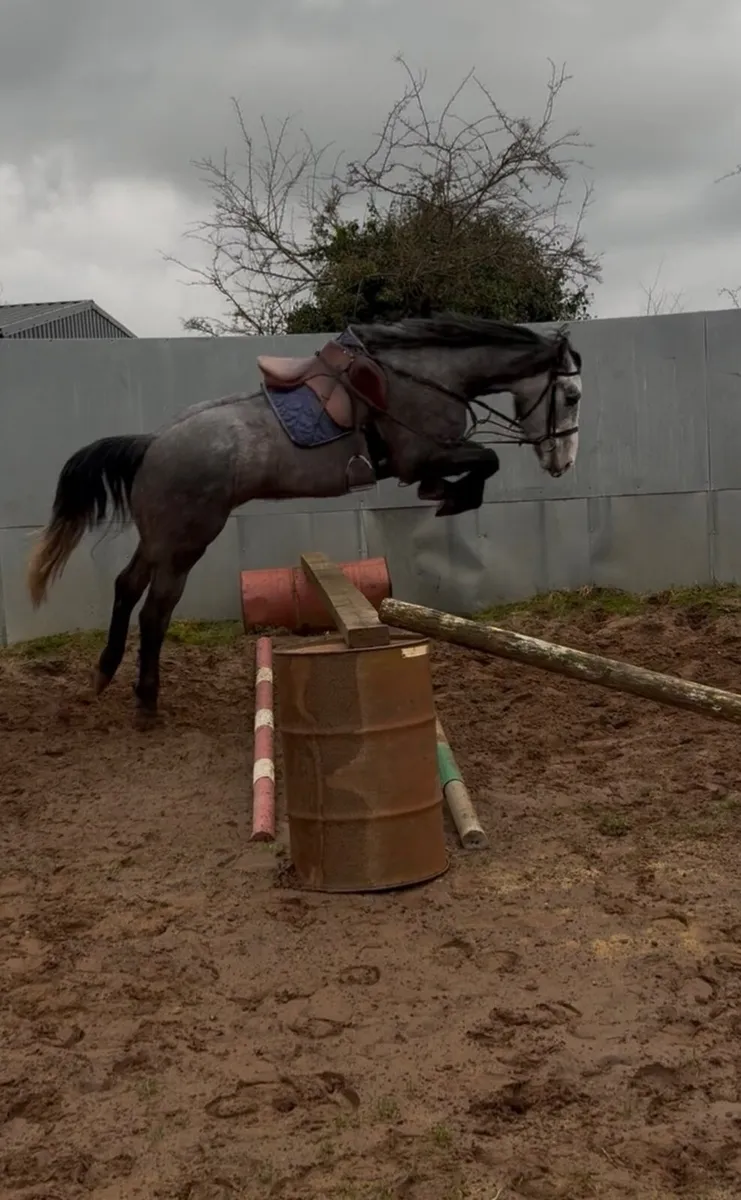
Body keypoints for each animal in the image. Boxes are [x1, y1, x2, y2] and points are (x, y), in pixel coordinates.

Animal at [27, 313, 582, 723]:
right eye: (572, 396)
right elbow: (484, 461)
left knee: (126, 587)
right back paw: (146, 700)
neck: (427, 375)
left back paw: (104, 676)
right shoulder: (422, 455)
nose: (562, 462)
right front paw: (451, 496)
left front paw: (447, 494)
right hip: (188, 540)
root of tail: (153, 443)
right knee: (155, 609)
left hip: (160, 537)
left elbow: (479, 464)